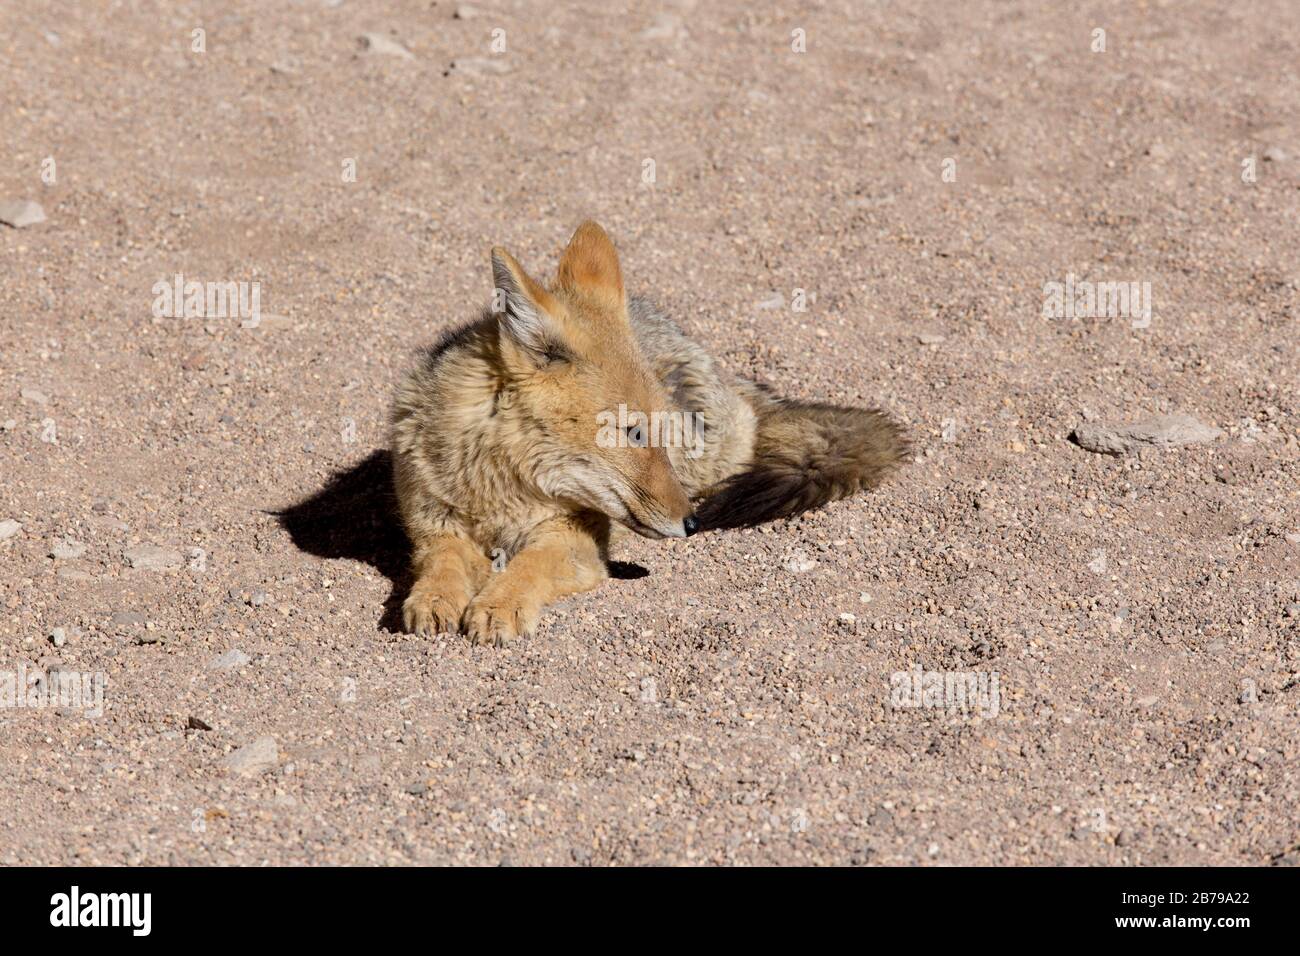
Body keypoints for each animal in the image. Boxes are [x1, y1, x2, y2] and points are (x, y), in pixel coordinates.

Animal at [390, 221, 907, 645]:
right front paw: (434, 598)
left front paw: (500, 603)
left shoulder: (576, 541)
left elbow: (527, 566)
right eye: (633, 434)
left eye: (655, 432)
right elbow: (442, 561)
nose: (692, 524)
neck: (502, 491)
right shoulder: (432, 526)